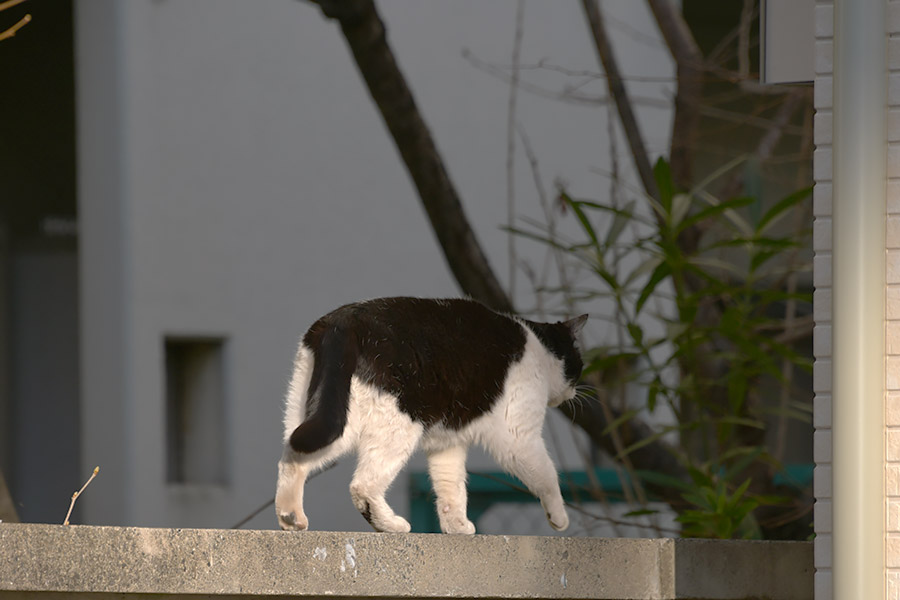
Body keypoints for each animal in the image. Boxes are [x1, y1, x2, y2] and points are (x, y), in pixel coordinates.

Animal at [274, 298, 588, 532]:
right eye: (579, 364)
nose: (575, 391)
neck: (540, 350)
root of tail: (341, 323)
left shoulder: (448, 444)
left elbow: (451, 485)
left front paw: (457, 525)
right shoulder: (519, 437)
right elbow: (546, 474)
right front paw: (559, 517)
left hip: (321, 416)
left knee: (292, 457)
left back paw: (291, 517)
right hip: (396, 425)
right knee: (362, 485)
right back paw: (392, 525)